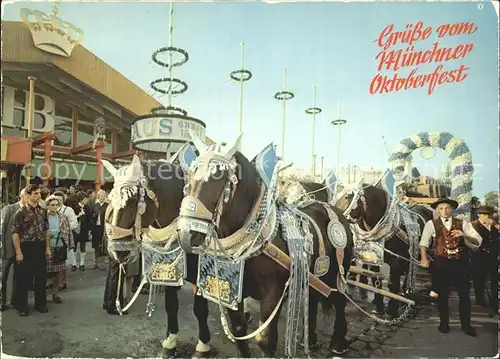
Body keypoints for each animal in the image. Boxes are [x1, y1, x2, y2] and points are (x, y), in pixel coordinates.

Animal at [101, 155, 217, 359]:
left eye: (132, 201)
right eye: (110, 201)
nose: (116, 250)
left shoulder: (199, 274)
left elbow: (200, 310)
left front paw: (202, 345)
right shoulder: (169, 269)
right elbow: (171, 305)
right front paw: (170, 342)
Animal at [178, 134, 354, 358]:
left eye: (218, 176)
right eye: (190, 175)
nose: (186, 234)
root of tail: (334, 209)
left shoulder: (273, 293)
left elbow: (265, 341)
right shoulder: (234, 291)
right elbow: (239, 332)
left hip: (340, 269)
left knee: (340, 300)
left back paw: (338, 343)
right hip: (314, 273)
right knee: (313, 299)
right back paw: (311, 339)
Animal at [336, 184, 434, 316]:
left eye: (347, 197)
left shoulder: (396, 260)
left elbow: (392, 283)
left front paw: (392, 310)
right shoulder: (373, 258)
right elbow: (375, 281)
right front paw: (379, 307)